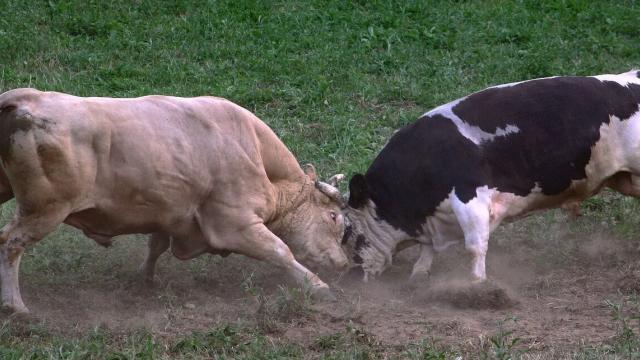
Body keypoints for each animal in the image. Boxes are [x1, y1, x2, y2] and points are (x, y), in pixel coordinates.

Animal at [342, 69, 640, 282]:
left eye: (349, 233)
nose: (351, 275)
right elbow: (427, 247)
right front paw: (420, 272)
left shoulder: (470, 198)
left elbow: (475, 246)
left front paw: (477, 285)